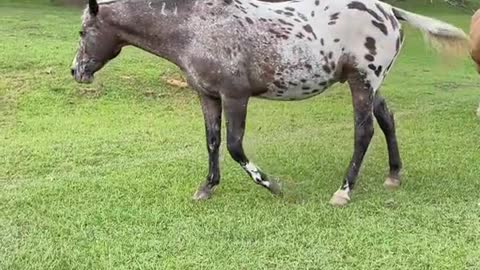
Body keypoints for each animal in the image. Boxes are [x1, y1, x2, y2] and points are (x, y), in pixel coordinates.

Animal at [71, 0, 468, 205]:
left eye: (82, 31)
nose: (76, 70)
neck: (197, 26)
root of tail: (387, 10)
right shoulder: (208, 96)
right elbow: (212, 142)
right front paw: (207, 187)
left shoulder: (235, 96)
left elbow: (234, 146)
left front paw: (272, 185)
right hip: (370, 85)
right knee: (386, 119)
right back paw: (394, 174)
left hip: (362, 82)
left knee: (364, 131)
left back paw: (344, 190)